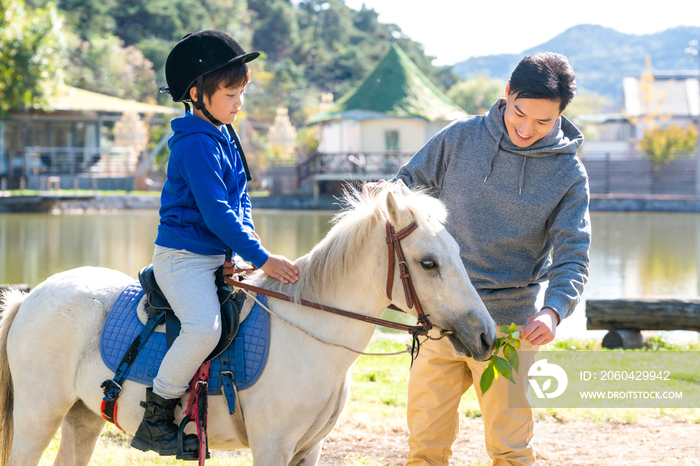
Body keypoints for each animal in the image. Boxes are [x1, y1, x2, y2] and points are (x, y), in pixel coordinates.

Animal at [0, 184, 498, 466]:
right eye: (429, 263)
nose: (485, 335)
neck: (308, 334)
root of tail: (31, 297)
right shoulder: (272, 447)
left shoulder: (308, 451)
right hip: (37, 417)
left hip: (82, 418)